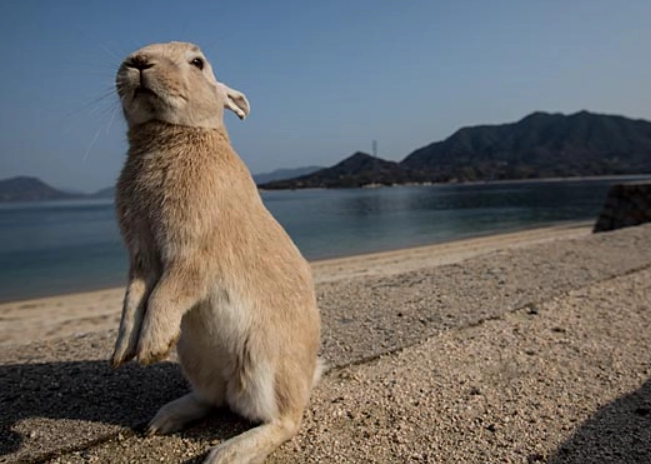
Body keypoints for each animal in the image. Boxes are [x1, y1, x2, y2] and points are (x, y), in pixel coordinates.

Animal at [110, 41, 322, 464]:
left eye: (197, 62)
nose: (138, 62)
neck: (172, 136)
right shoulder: (140, 258)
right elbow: (135, 297)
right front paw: (123, 352)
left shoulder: (192, 256)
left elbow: (165, 293)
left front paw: (151, 349)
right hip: (195, 356)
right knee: (212, 399)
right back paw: (162, 421)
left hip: (262, 363)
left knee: (284, 421)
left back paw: (226, 454)